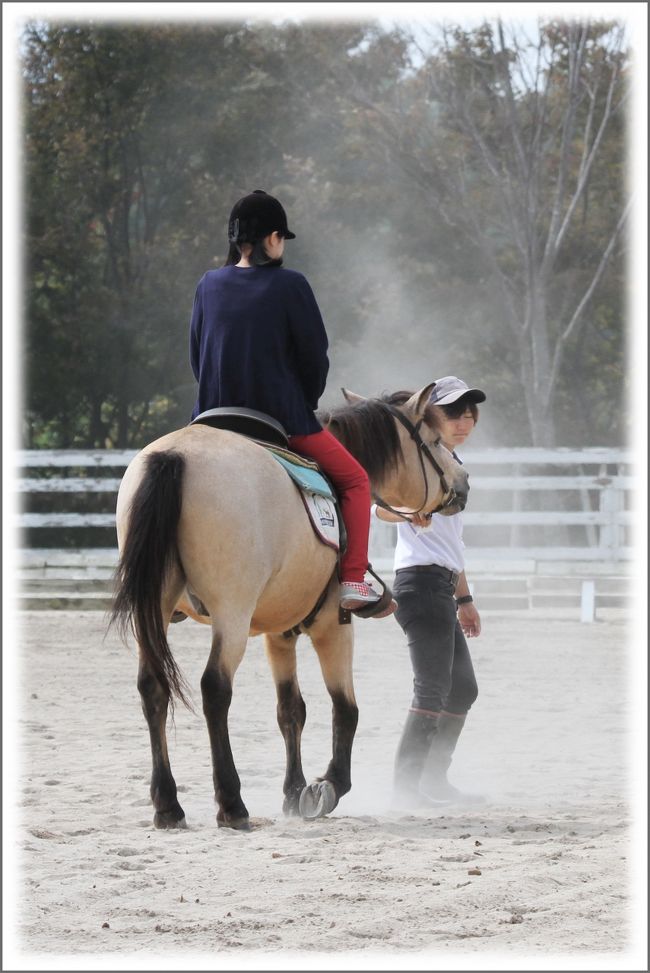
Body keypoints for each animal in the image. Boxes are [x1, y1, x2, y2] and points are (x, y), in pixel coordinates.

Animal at [110, 384, 466, 832]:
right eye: (434, 441)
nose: (463, 483)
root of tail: (175, 456)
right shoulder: (334, 625)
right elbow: (345, 708)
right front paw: (328, 785)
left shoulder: (278, 634)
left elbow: (290, 710)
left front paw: (293, 791)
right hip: (232, 613)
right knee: (215, 689)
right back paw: (232, 803)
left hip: (154, 611)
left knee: (152, 688)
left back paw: (168, 804)